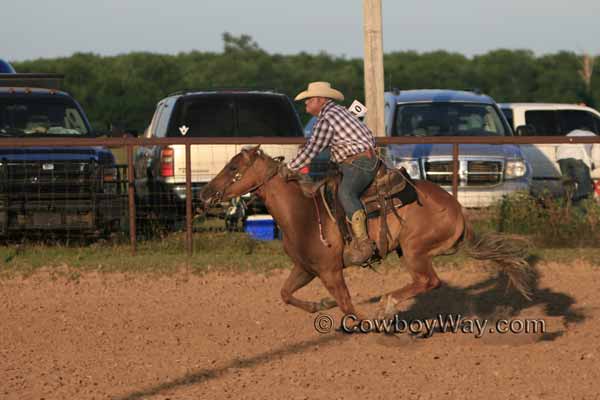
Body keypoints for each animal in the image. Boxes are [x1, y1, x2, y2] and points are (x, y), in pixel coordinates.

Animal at [199, 146, 532, 318]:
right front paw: (320, 305)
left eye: (233, 168)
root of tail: (457, 207)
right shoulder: (306, 268)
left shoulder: (331, 271)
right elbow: (285, 293)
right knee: (426, 282)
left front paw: (361, 321)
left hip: (414, 250)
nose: (205, 193)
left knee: (429, 281)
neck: (301, 213)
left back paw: (386, 306)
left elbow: (348, 306)